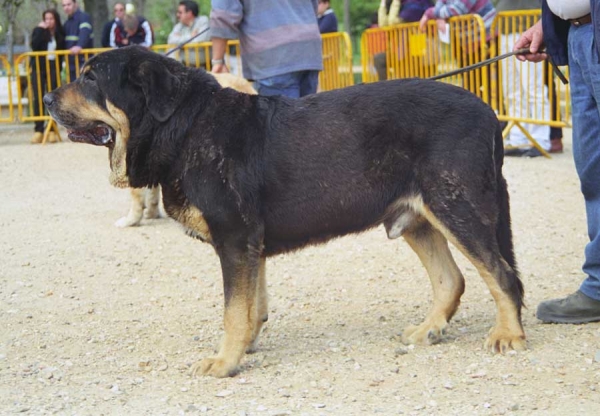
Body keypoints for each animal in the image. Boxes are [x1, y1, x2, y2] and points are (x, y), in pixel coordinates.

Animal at [45, 47, 524, 378]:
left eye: (91, 78)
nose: (47, 98)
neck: (186, 126)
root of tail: (488, 111)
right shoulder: (248, 245)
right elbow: (252, 307)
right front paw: (245, 346)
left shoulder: (235, 239)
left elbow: (233, 310)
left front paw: (225, 361)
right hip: (418, 218)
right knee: (452, 279)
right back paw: (429, 329)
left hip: (458, 208)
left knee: (502, 275)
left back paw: (509, 335)